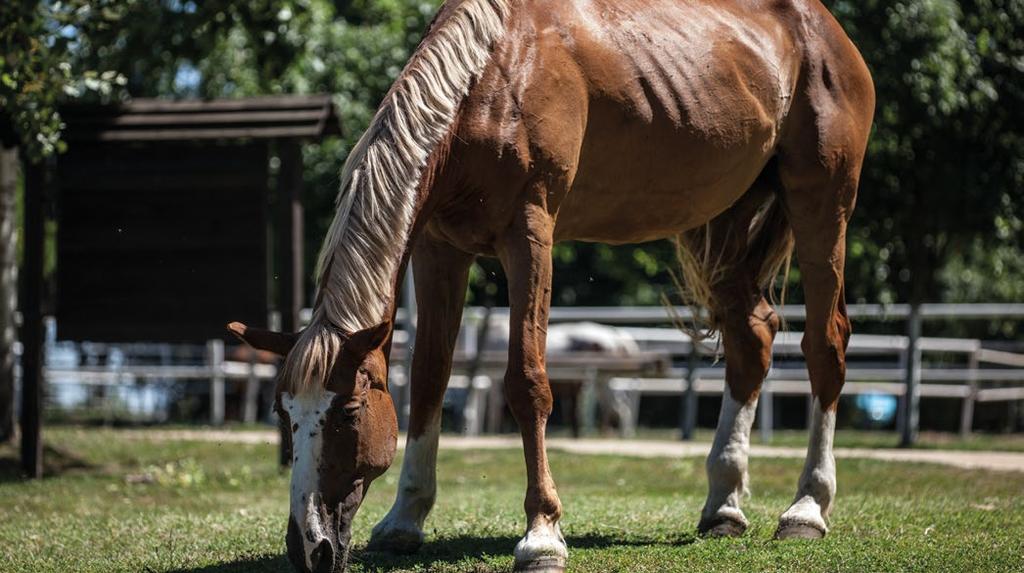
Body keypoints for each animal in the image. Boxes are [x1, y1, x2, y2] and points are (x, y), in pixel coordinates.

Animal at [230, 1, 872, 573]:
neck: (492, 77)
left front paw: (541, 537)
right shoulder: (439, 250)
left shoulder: (530, 233)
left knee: (825, 344)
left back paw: (807, 508)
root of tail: (825, 29)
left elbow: (528, 381)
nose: (308, 546)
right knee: (751, 341)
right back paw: (723, 506)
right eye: (284, 414)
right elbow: (430, 378)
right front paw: (404, 521)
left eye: (347, 412)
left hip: (823, 202)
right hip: (721, 222)